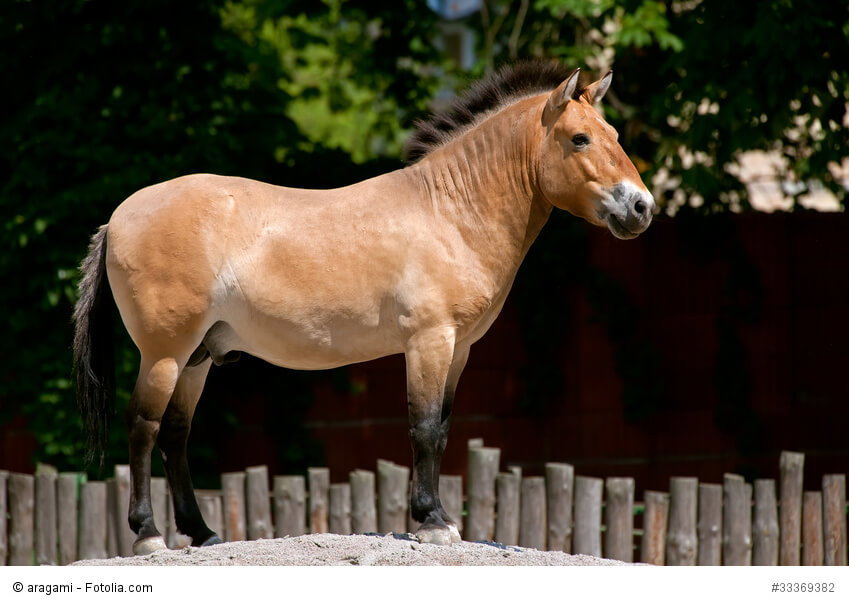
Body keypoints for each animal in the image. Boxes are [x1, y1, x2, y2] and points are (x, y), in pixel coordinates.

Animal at [73, 61, 655, 554]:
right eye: (579, 138)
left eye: (615, 136)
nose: (641, 207)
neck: (450, 211)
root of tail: (119, 216)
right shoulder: (428, 341)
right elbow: (424, 427)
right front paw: (433, 523)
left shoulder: (459, 350)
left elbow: (443, 429)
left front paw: (439, 520)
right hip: (165, 354)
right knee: (144, 426)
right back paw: (149, 536)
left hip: (196, 357)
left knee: (175, 433)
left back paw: (202, 533)